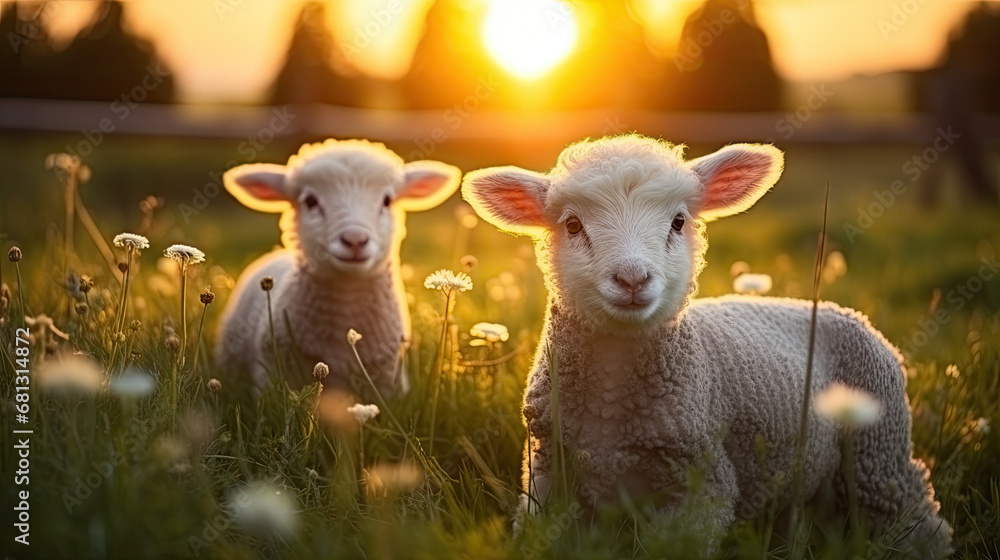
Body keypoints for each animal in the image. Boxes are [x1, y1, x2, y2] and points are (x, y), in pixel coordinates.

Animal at [460, 135, 952, 556]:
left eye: (678, 222)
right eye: (573, 224)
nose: (633, 279)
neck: (612, 410)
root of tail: (847, 313)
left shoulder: (703, 483)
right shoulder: (547, 475)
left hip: (878, 456)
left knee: (914, 517)